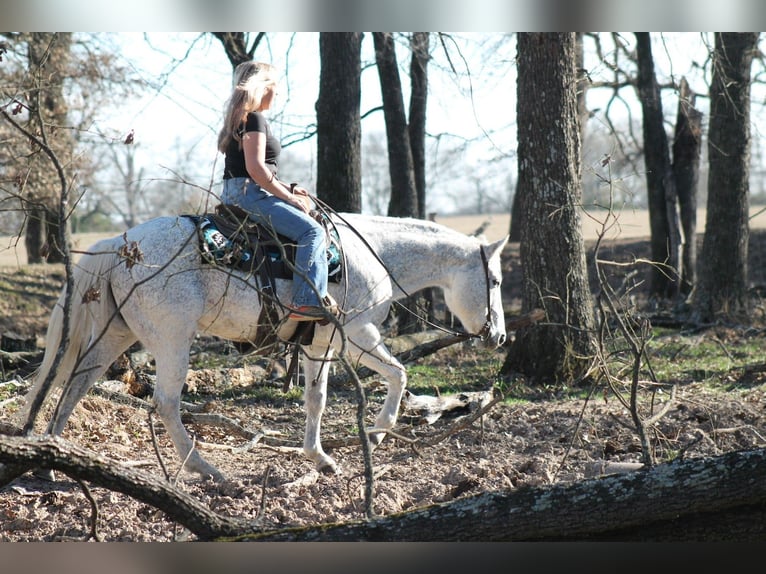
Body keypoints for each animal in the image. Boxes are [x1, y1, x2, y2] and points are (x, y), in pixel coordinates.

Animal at [18, 212, 509, 481]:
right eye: (496, 281)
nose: (499, 336)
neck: (372, 254)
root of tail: (118, 247)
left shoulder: (319, 344)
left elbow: (316, 399)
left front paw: (320, 458)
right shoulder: (357, 335)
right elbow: (400, 374)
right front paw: (379, 430)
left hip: (115, 334)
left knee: (76, 384)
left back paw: (53, 457)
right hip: (173, 341)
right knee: (165, 404)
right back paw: (205, 469)